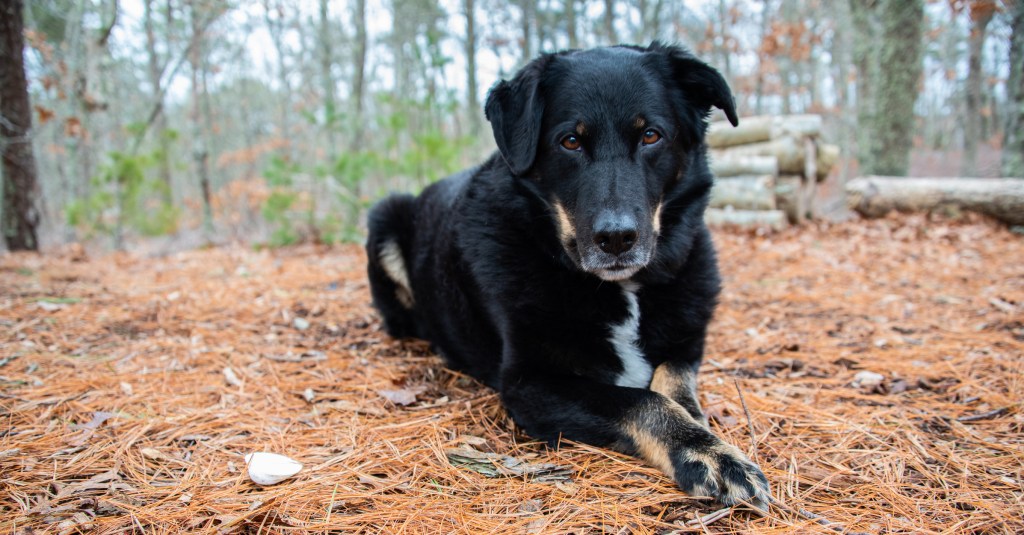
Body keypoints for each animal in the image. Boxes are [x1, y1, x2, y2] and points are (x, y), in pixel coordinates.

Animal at [366, 42, 770, 508]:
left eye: (651, 135)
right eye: (570, 141)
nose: (617, 239)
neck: (621, 290)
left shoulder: (685, 349)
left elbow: (674, 384)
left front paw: (705, 435)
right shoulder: (531, 383)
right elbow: (641, 400)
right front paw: (704, 452)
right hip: (384, 217)